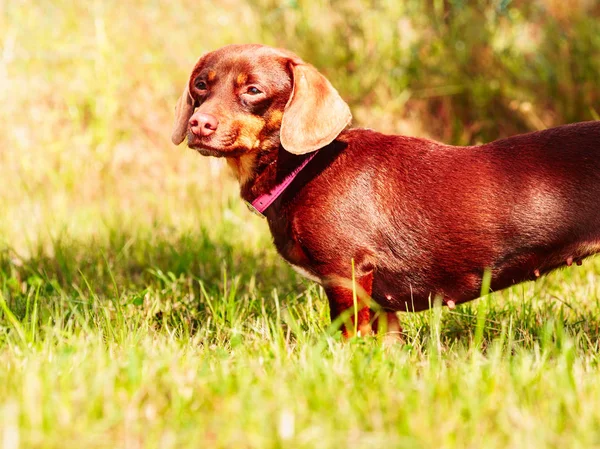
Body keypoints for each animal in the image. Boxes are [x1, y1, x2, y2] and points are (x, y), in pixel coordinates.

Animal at [171, 43, 600, 336]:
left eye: (254, 91)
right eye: (200, 85)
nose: (199, 124)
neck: (306, 167)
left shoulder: (345, 274)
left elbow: (348, 335)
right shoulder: (380, 302)